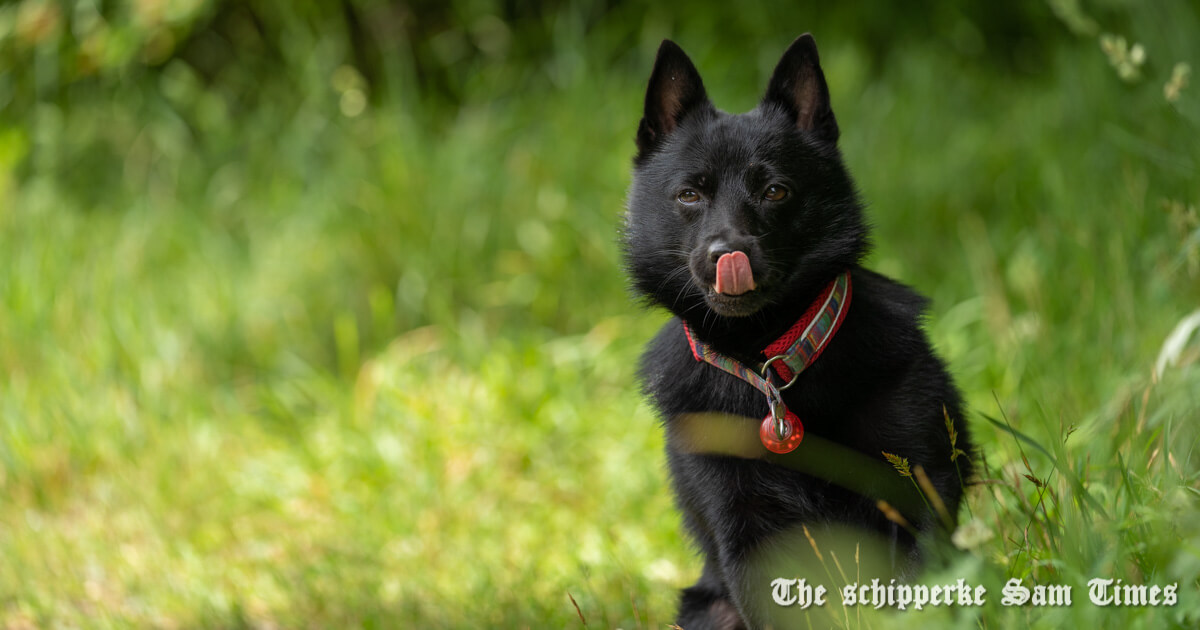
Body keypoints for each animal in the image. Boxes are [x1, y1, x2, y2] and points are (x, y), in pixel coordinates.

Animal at [624, 35, 969, 628]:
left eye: (775, 191)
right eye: (690, 195)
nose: (728, 253)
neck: (768, 365)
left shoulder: (919, 489)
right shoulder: (746, 530)